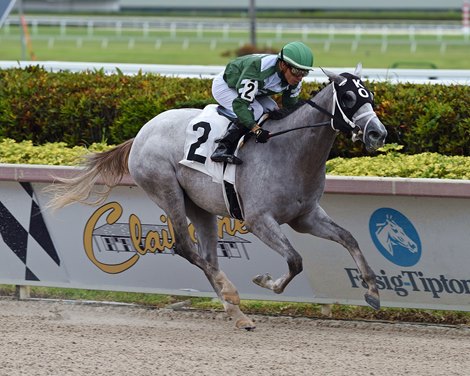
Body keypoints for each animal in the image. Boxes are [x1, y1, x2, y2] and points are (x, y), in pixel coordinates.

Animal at [47, 64, 388, 328]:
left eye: (369, 95)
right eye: (348, 97)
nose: (377, 133)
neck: (290, 150)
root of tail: (141, 134)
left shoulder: (305, 216)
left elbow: (348, 239)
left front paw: (372, 290)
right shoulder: (258, 219)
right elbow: (295, 260)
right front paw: (265, 281)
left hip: (200, 207)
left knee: (208, 256)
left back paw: (236, 312)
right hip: (166, 190)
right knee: (185, 248)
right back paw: (231, 292)